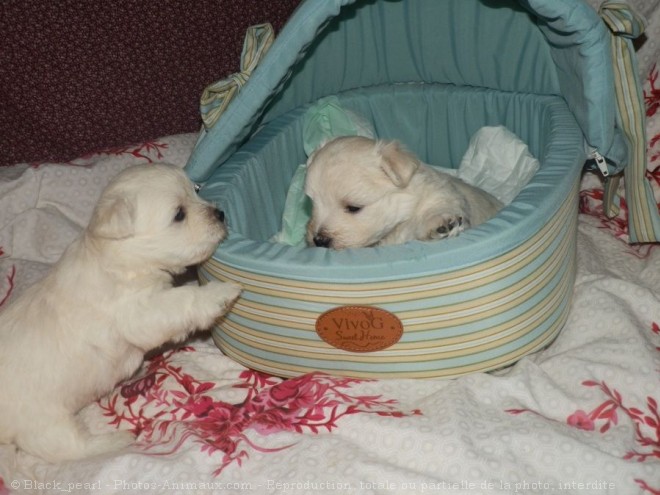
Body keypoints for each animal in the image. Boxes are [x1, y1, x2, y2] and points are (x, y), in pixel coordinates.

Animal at [0, 165, 242, 464]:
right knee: (66, 447)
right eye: (179, 214)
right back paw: (117, 439)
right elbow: (183, 298)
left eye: (197, 190)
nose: (220, 214)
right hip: (44, 420)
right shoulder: (138, 312)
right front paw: (221, 293)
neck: (119, 254)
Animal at [306, 136, 502, 250]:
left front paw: (441, 223)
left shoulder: (440, 193)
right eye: (313, 204)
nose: (319, 240)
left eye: (354, 207)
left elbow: (440, 204)